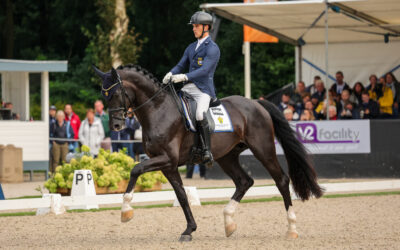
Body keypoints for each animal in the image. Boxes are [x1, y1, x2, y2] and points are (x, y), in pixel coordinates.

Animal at [92, 64, 324, 242]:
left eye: (116, 93)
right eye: (104, 95)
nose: (116, 126)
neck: (158, 110)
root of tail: (256, 103)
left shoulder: (166, 159)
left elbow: (135, 169)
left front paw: (126, 211)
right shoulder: (168, 165)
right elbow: (181, 195)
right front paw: (189, 230)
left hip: (263, 150)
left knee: (281, 180)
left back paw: (292, 229)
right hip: (227, 156)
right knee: (244, 181)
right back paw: (229, 222)